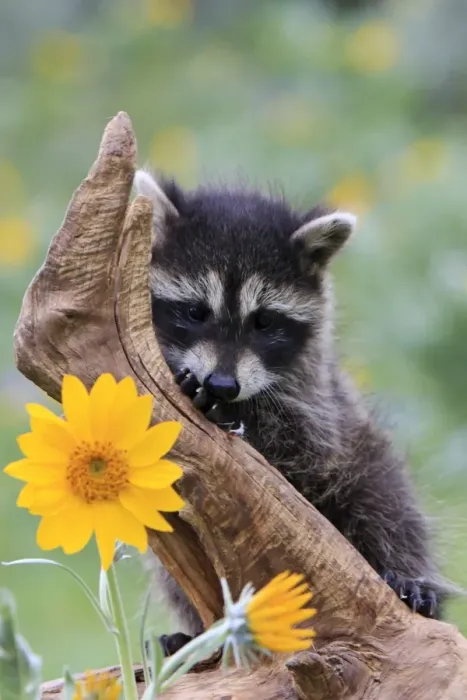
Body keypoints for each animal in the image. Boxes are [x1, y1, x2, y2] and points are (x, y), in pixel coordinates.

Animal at [133, 169, 453, 656]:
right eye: (195, 312)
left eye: (264, 322)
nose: (223, 385)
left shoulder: (321, 400)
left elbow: (306, 449)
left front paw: (235, 414)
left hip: (368, 463)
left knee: (388, 501)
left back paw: (409, 574)